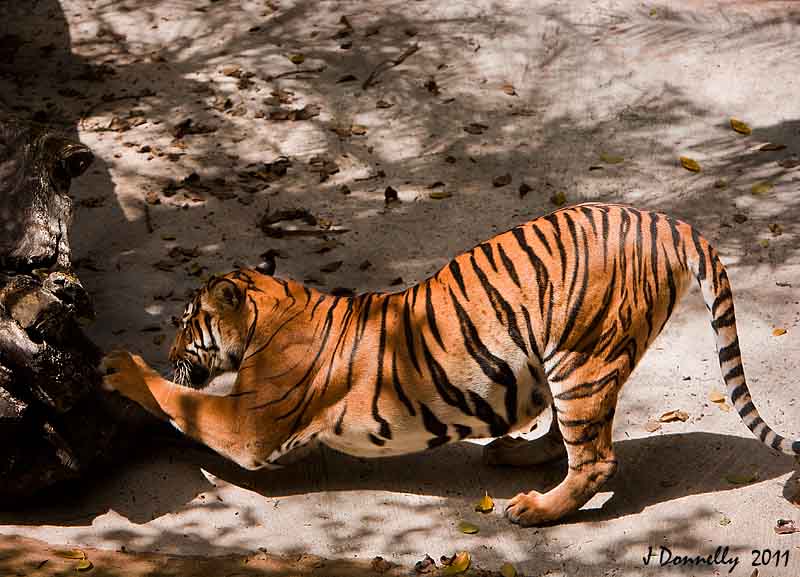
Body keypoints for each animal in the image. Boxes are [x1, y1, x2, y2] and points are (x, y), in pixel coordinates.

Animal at [101, 202, 800, 528]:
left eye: (184, 323)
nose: (169, 350)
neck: (272, 308)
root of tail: (665, 220)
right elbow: (182, 408)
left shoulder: (249, 427)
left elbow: (181, 401)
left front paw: (120, 367)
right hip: (562, 362)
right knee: (566, 437)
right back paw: (513, 453)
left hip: (580, 356)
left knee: (596, 458)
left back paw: (534, 510)